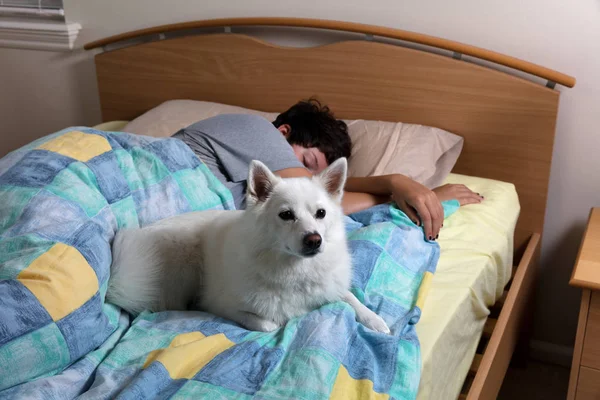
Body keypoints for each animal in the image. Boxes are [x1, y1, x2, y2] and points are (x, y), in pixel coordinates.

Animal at [106, 158, 390, 332]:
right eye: (286, 215)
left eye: (320, 213)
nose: (314, 239)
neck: (295, 270)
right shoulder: (220, 305)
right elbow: (267, 323)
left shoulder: (331, 285)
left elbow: (351, 297)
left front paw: (375, 320)